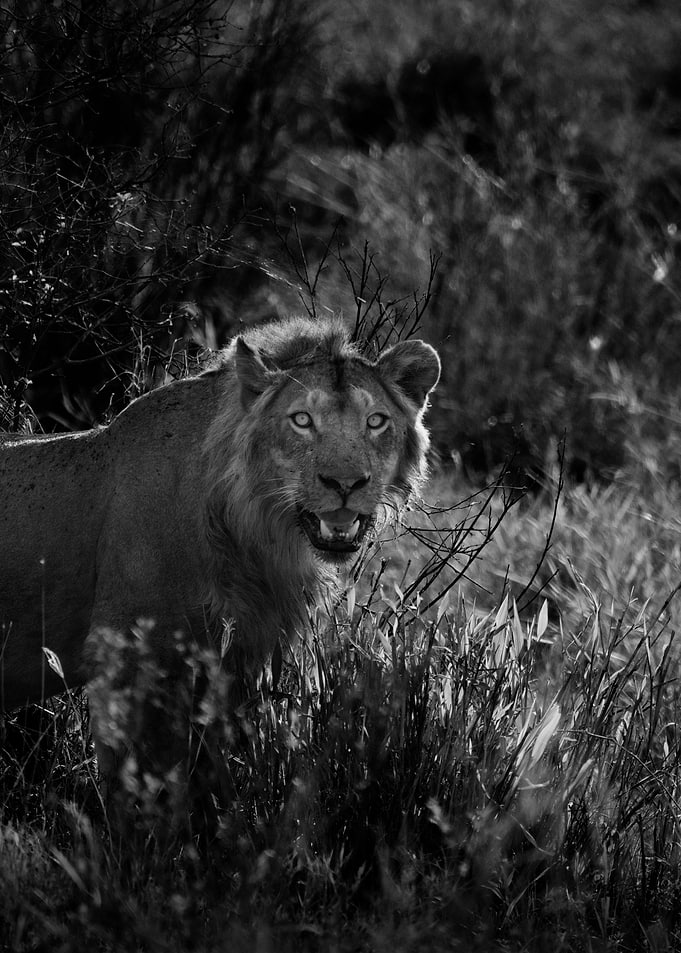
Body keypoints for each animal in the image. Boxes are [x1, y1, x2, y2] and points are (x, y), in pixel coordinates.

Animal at [0, 315, 440, 788]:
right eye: (302, 420)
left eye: (375, 421)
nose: (345, 483)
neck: (254, 532)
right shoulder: (122, 657)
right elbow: (134, 786)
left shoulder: (234, 661)